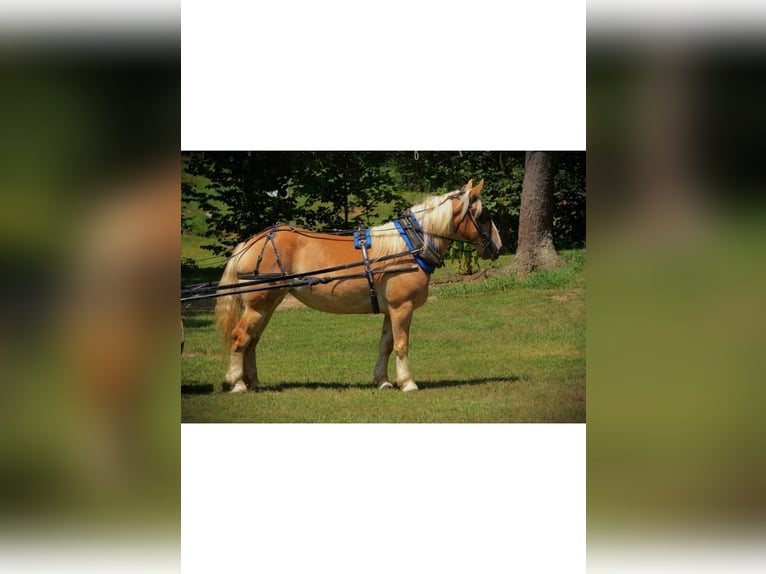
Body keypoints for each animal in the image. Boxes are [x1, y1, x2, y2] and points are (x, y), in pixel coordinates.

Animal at [215, 179, 502, 393]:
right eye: (484, 215)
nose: (498, 247)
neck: (409, 245)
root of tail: (250, 243)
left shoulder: (390, 310)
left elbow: (385, 345)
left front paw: (383, 381)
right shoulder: (402, 307)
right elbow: (401, 344)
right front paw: (407, 382)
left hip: (267, 305)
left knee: (252, 340)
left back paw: (253, 382)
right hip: (259, 305)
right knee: (240, 337)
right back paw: (237, 383)